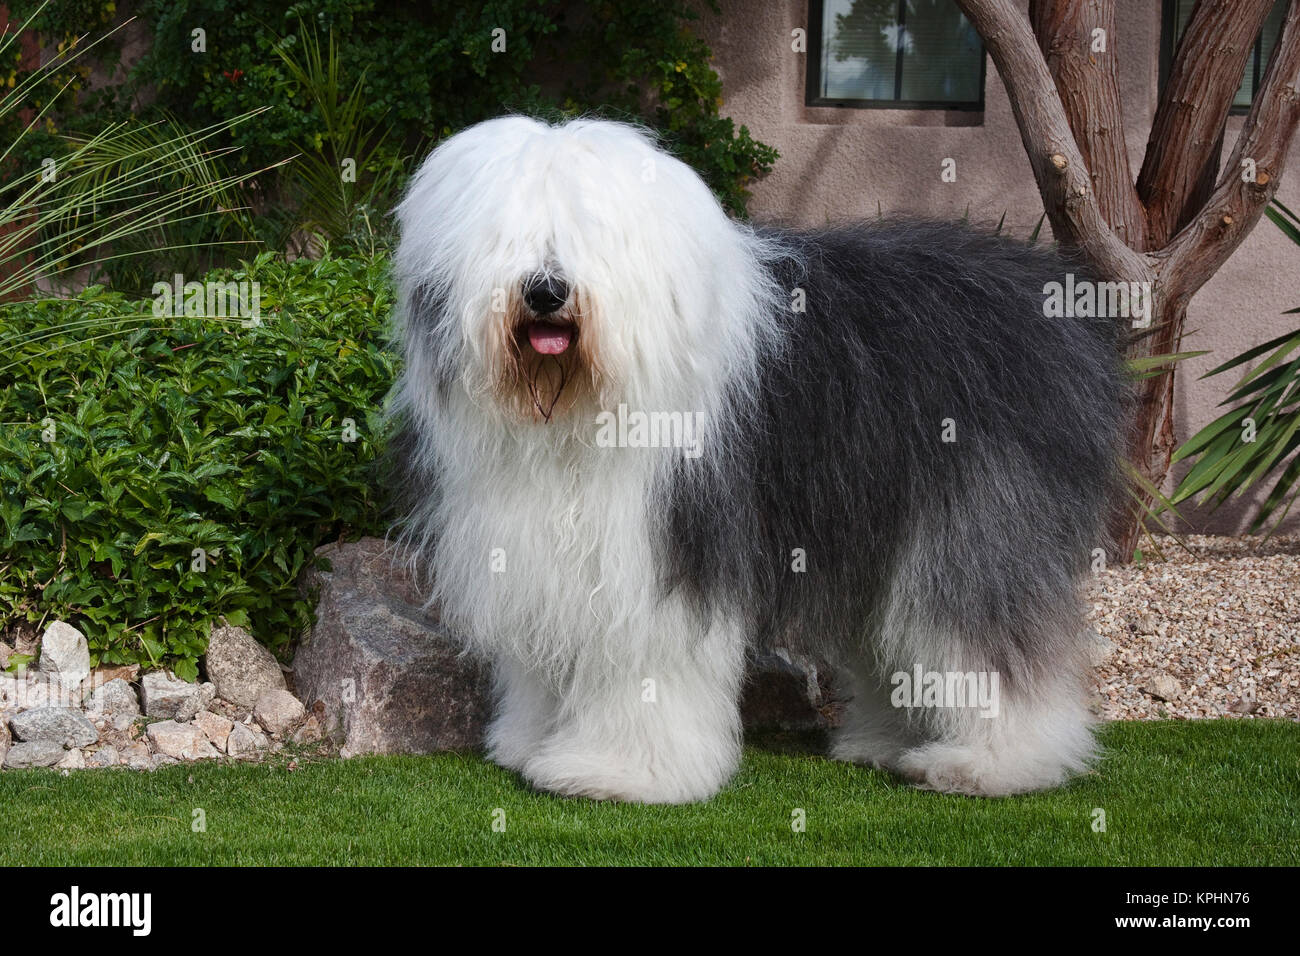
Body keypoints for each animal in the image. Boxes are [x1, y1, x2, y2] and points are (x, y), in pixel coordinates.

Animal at [382, 115, 1118, 806]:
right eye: (505, 238)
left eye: (591, 235)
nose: (545, 290)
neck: (573, 408)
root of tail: (1048, 296)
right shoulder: (539, 550)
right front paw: (529, 742)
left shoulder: (664, 550)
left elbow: (646, 666)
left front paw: (622, 772)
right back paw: (887, 744)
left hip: (975, 513)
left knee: (986, 629)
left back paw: (994, 763)